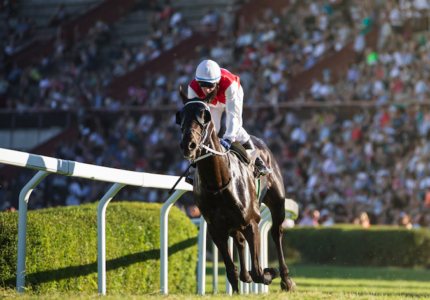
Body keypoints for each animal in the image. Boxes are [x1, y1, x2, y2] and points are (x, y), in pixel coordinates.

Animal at [175, 87, 296, 292]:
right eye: (180, 116)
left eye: (204, 115)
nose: (188, 145)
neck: (218, 184)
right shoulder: (216, 229)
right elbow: (232, 271)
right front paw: (241, 283)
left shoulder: (252, 223)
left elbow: (258, 272)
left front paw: (270, 272)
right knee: (239, 242)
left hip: (277, 203)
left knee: (276, 233)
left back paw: (286, 279)